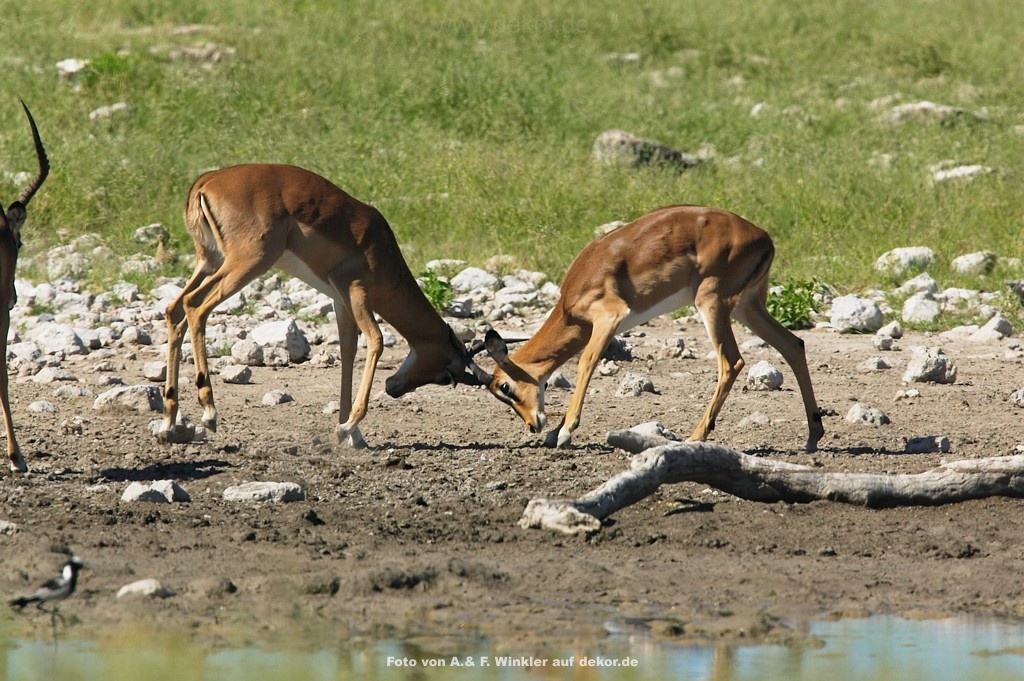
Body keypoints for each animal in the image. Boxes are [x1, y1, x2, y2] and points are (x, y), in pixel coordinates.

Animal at [158, 163, 486, 447]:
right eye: (446, 376)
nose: (393, 389)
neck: (380, 250)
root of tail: (207, 181)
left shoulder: (342, 301)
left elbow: (348, 352)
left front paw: (353, 436)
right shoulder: (355, 290)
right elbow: (376, 340)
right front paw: (348, 427)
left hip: (210, 261)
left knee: (175, 309)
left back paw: (169, 423)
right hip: (248, 262)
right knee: (195, 307)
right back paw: (209, 412)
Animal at [475, 205, 826, 452]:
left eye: (505, 387)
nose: (532, 425)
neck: (570, 302)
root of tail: (764, 237)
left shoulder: (609, 317)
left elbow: (586, 362)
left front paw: (563, 432)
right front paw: (553, 432)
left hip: (712, 303)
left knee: (732, 361)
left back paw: (695, 436)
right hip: (747, 306)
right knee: (793, 344)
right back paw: (813, 436)